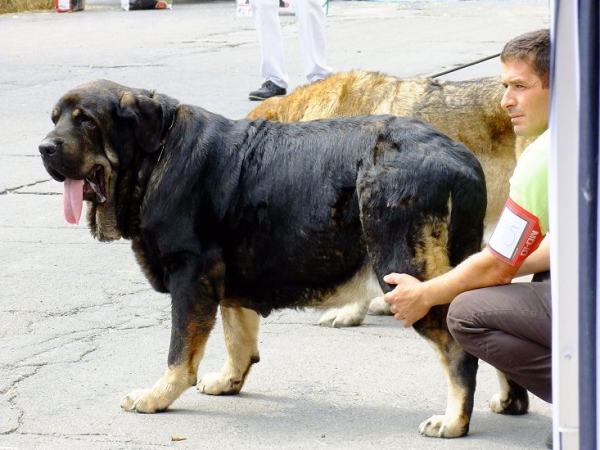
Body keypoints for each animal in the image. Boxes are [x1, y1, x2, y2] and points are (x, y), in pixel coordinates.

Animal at [39, 79, 488, 438]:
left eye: (86, 121)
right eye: (56, 118)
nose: (44, 147)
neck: (156, 156)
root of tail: (461, 159)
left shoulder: (191, 277)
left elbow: (180, 352)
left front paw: (158, 395)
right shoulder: (226, 278)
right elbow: (237, 336)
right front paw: (229, 380)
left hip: (406, 274)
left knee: (458, 349)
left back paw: (454, 421)